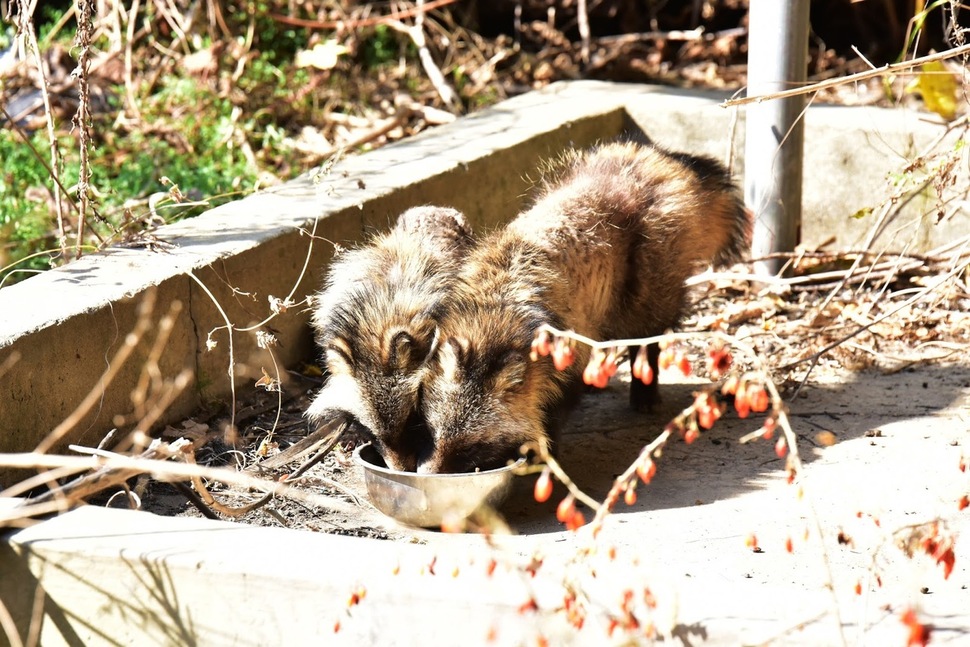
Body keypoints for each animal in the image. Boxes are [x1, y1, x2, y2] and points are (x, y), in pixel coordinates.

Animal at [416, 142, 748, 474]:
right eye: (431, 430)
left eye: (471, 446)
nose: (426, 472)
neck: (496, 313)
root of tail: (659, 160)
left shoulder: (563, 351)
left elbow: (553, 409)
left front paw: (546, 453)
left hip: (651, 277)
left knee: (647, 333)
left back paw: (644, 385)